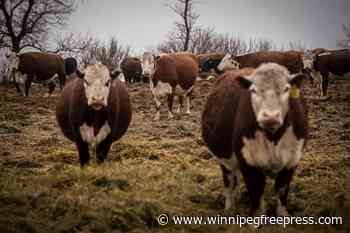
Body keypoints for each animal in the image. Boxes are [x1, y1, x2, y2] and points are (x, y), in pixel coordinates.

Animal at [201, 62, 308, 216]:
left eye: (286, 89)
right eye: (253, 90)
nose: (270, 116)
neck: (273, 137)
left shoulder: (292, 160)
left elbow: (282, 191)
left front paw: (284, 216)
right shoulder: (248, 162)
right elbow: (256, 193)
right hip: (225, 159)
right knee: (229, 182)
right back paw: (229, 208)